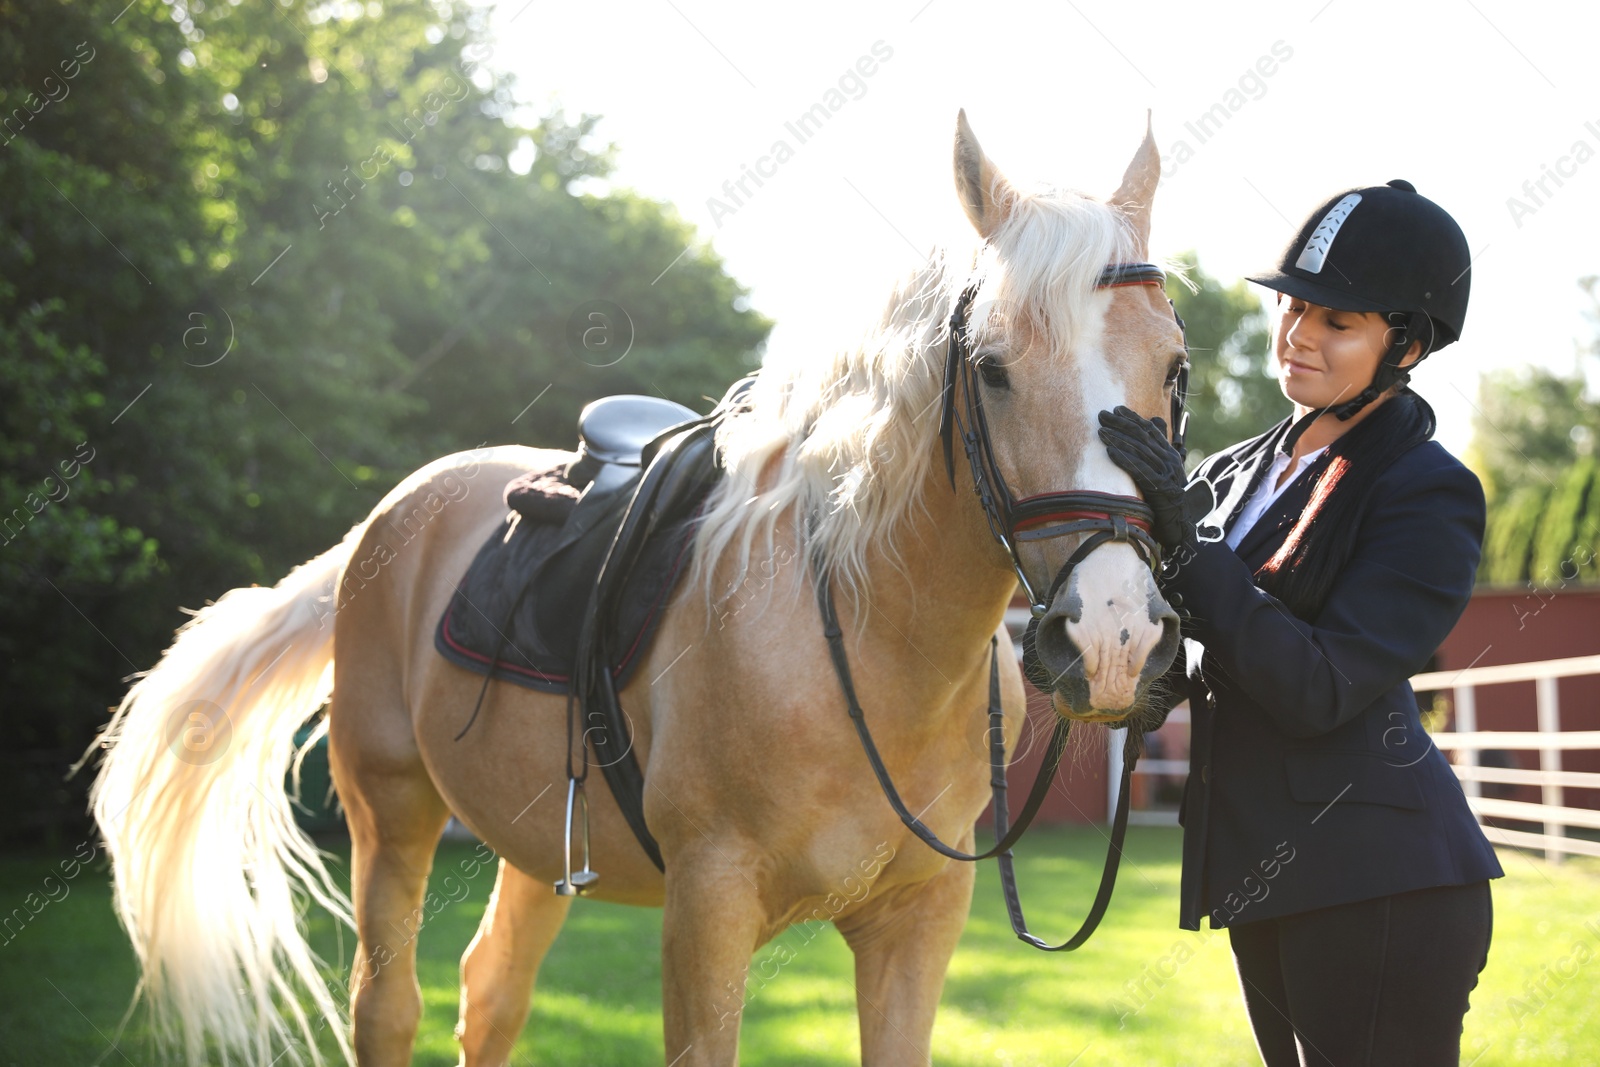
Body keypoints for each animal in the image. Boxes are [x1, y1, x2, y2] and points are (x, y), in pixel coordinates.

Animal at [90, 112, 1190, 1062]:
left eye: (1175, 371)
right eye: (993, 369)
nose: (1114, 638)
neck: (865, 644)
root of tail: (387, 517)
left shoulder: (915, 923)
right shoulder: (708, 910)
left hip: (534, 847)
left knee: (490, 993)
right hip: (389, 808)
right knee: (387, 1007)